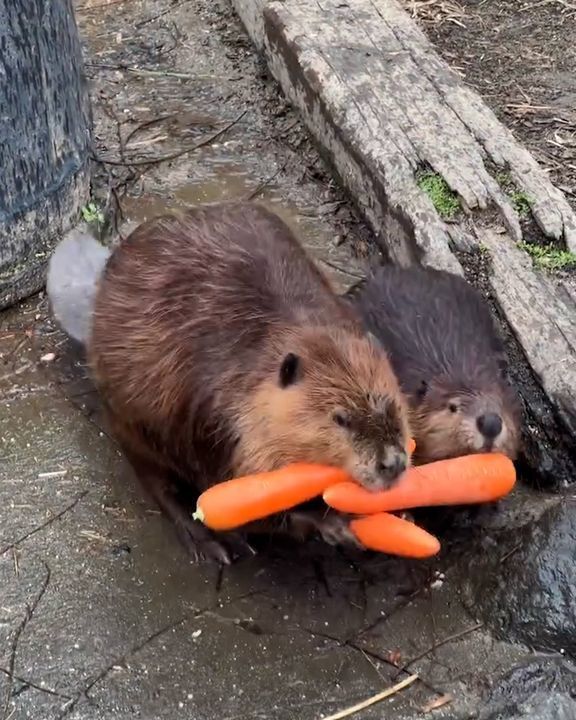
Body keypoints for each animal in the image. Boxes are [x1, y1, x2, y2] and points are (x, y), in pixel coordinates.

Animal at [47, 201, 412, 564]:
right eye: (340, 418)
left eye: (393, 404)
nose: (392, 464)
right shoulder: (215, 426)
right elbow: (246, 502)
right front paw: (335, 523)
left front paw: (398, 513)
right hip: (130, 419)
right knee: (156, 481)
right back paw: (207, 542)